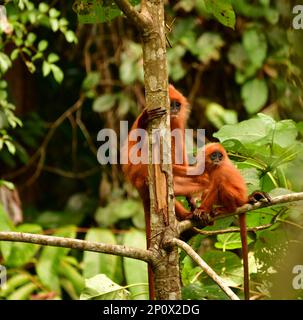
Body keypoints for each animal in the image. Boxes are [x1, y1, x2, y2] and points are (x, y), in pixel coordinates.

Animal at [195, 144, 252, 302]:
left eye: (219, 156)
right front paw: (203, 213)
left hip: (237, 198)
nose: (217, 160)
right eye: (214, 155)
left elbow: (215, 188)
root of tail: (244, 200)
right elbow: (207, 190)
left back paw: (227, 209)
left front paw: (201, 210)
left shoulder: (220, 170)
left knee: (221, 185)